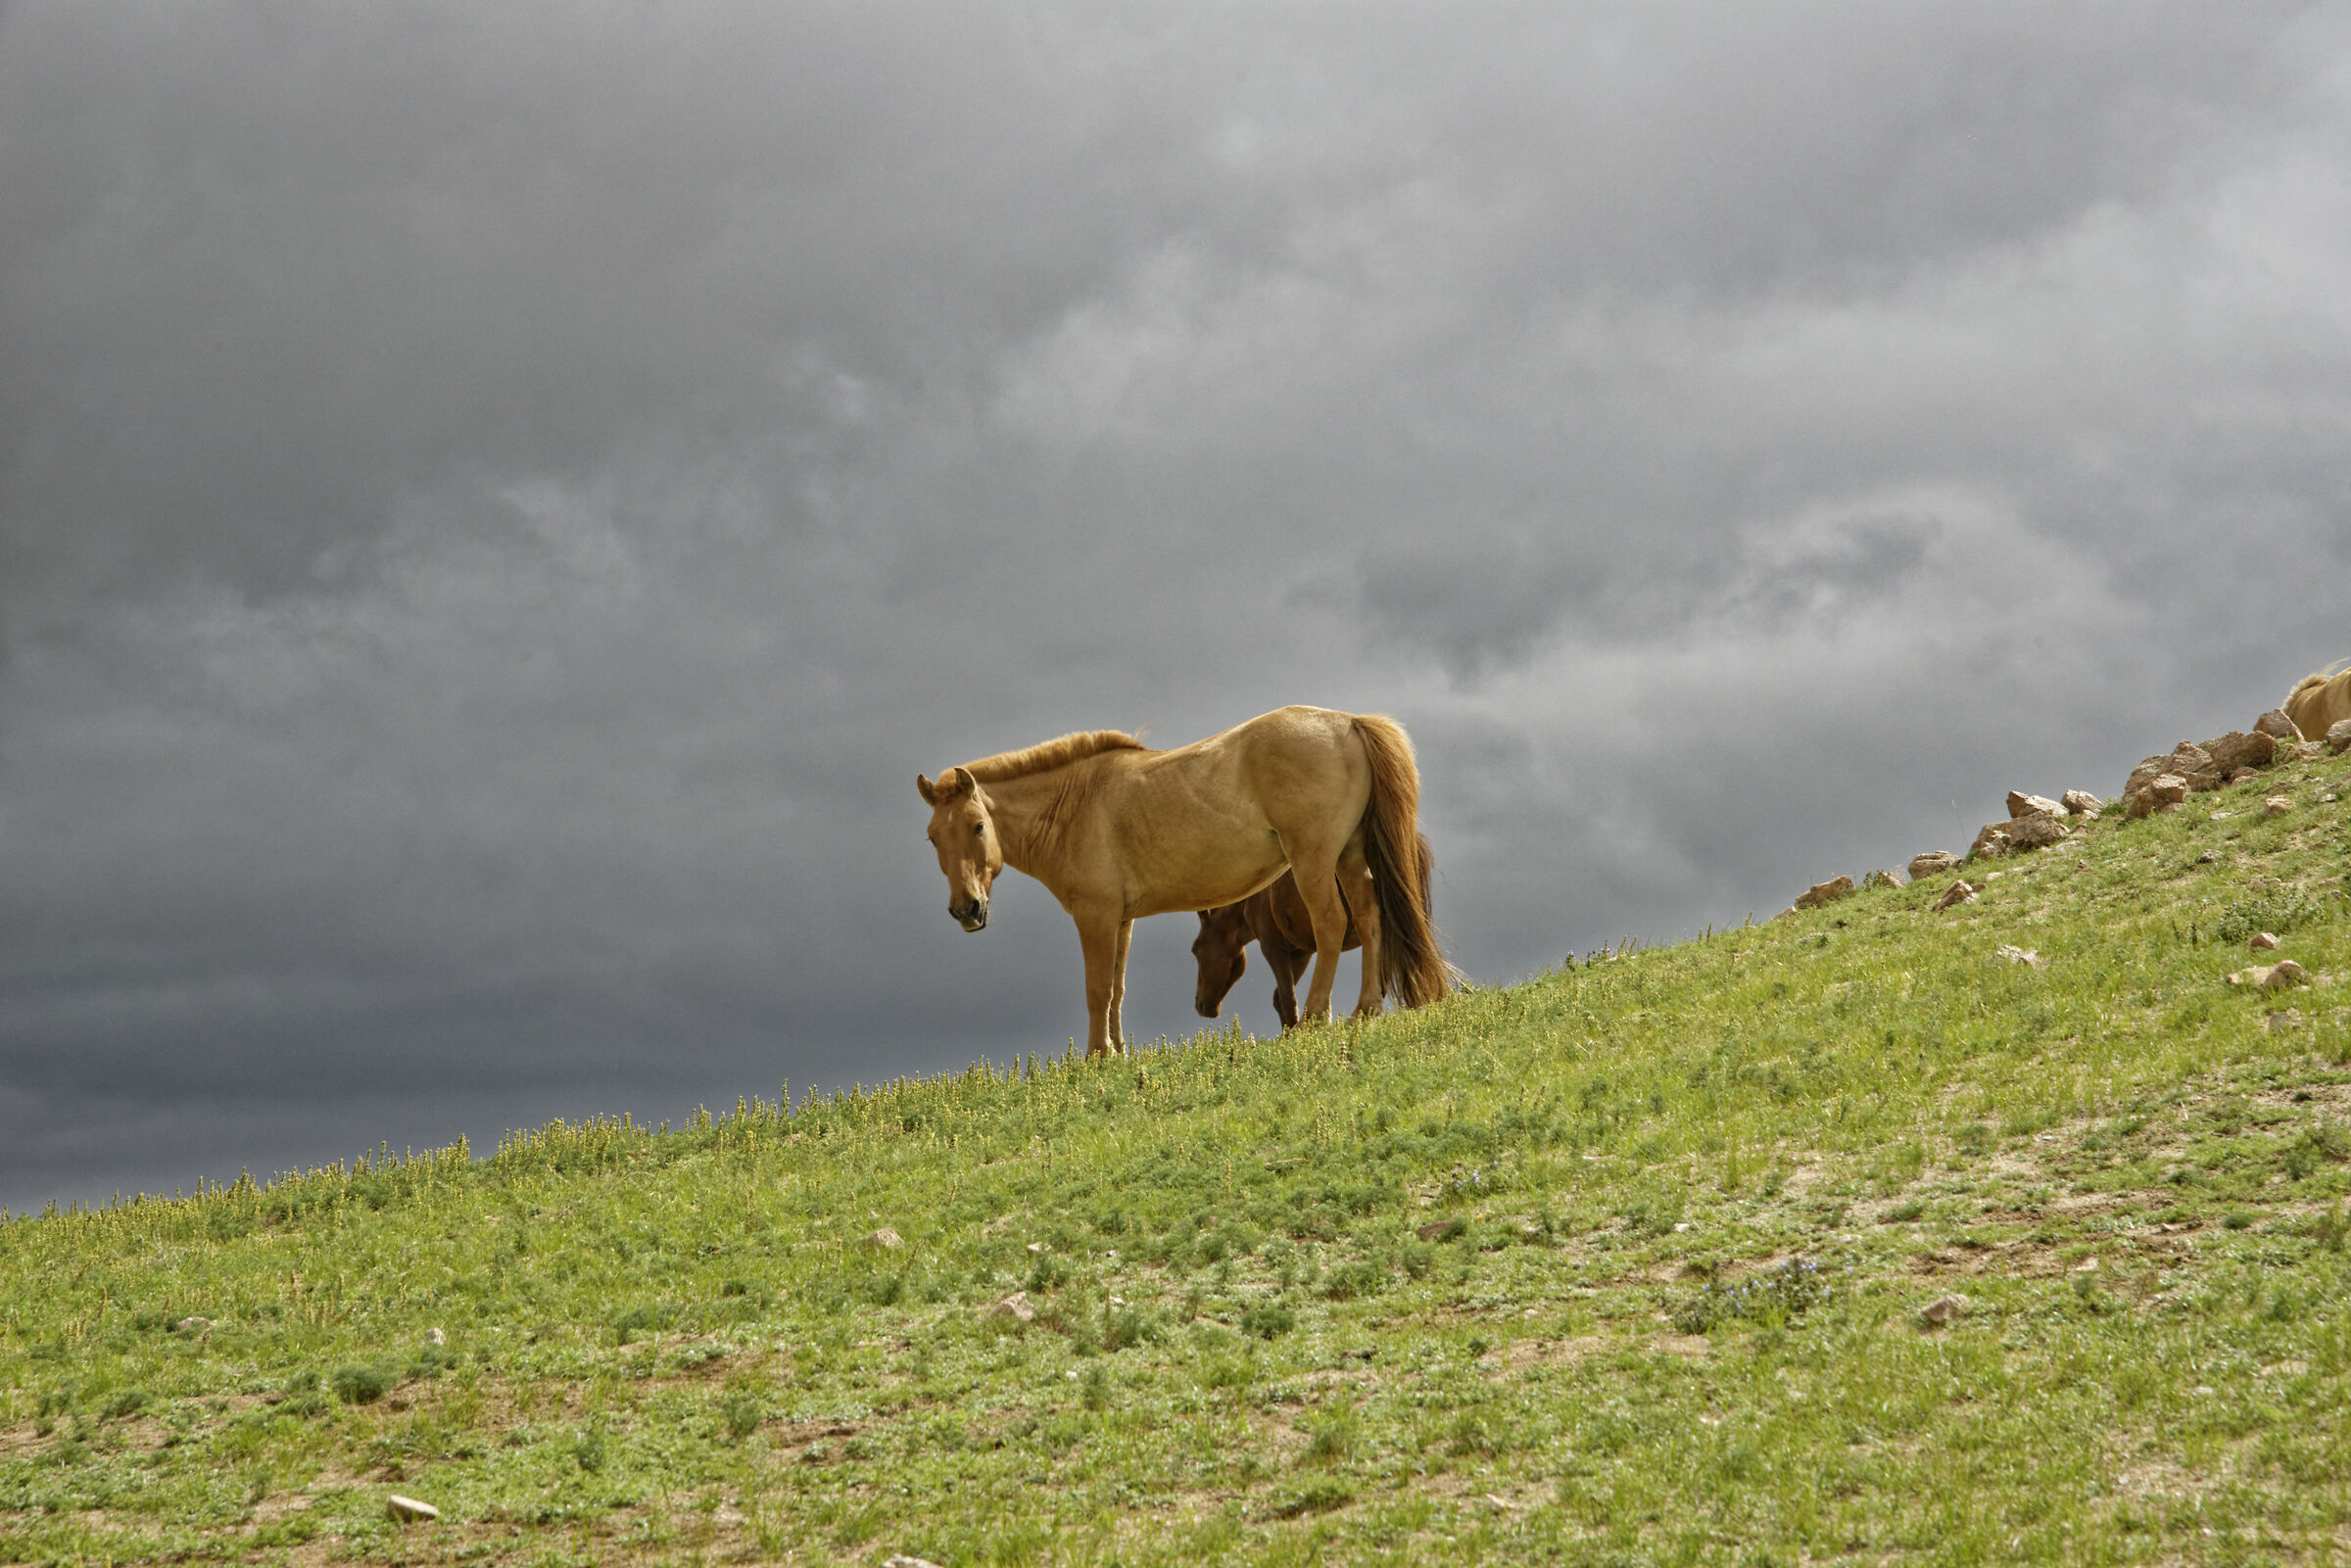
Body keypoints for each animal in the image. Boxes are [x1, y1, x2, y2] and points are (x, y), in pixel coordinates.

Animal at [1192, 830, 1438, 1031]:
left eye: (1195, 950)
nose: (1200, 1004)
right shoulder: (1301, 953)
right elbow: (1282, 997)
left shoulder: (1272, 947)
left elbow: (1285, 998)